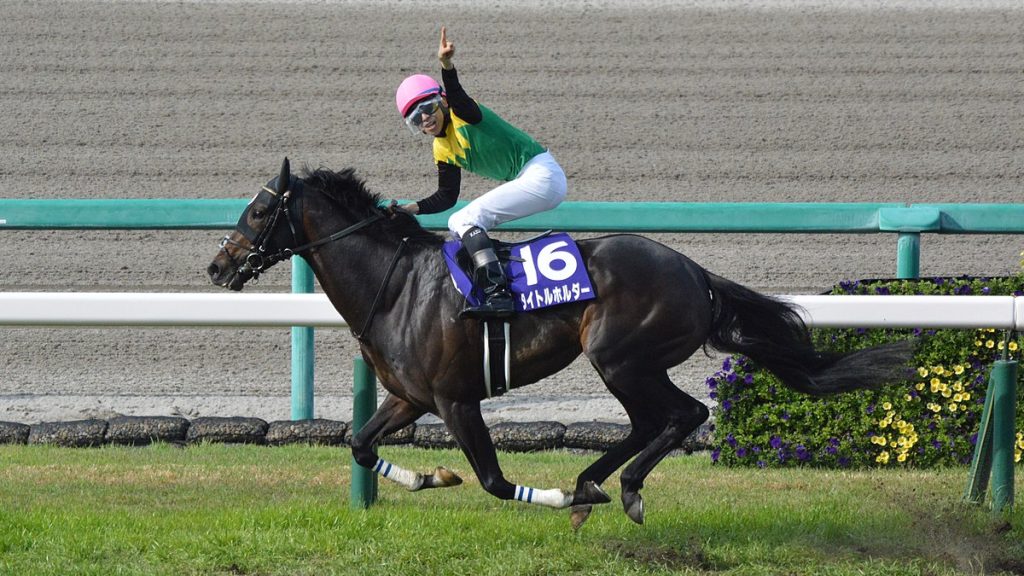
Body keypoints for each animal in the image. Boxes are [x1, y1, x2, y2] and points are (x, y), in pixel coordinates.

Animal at [203, 158, 909, 528]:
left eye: (260, 211)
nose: (217, 266)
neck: (396, 283)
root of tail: (696, 273)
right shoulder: (408, 397)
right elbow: (357, 443)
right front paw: (430, 475)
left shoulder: (456, 400)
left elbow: (492, 480)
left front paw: (547, 496)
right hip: (624, 364)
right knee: (651, 422)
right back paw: (596, 482)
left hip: (621, 357)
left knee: (684, 414)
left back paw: (616, 488)